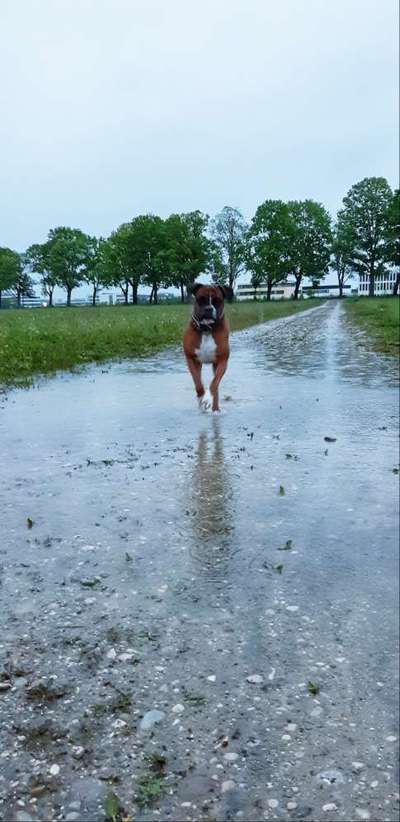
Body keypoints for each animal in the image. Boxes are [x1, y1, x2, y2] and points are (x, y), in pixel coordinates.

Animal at [183, 284, 233, 412]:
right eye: (201, 299)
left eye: (217, 301)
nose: (209, 309)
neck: (206, 330)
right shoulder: (192, 360)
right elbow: (198, 383)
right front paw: (201, 397)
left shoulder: (222, 361)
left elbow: (214, 383)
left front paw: (207, 398)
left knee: (216, 387)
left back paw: (215, 409)